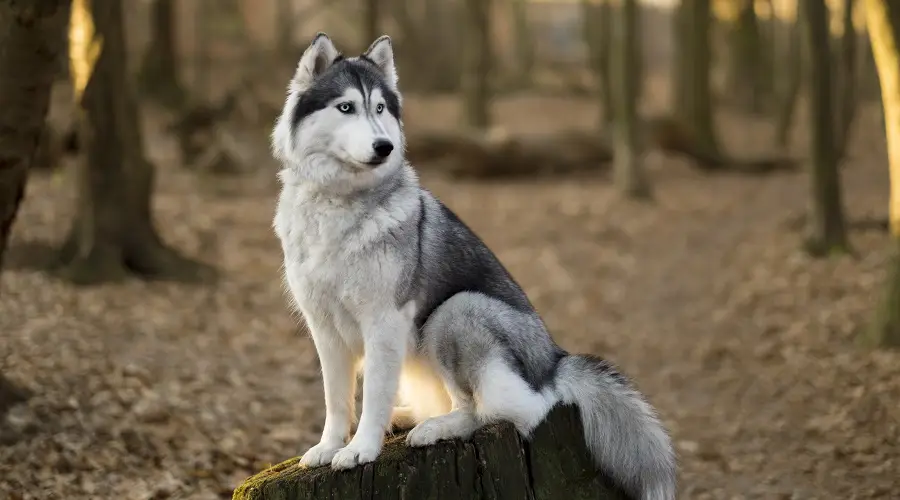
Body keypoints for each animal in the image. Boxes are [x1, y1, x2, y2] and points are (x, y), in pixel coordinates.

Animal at [272, 33, 676, 498]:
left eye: (380, 109)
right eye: (345, 107)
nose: (383, 147)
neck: (339, 203)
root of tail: (554, 361)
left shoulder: (384, 322)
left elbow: (372, 394)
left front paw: (361, 449)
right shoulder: (324, 328)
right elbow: (336, 400)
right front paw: (328, 447)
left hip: (456, 312)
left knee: (498, 410)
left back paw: (436, 427)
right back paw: (412, 416)